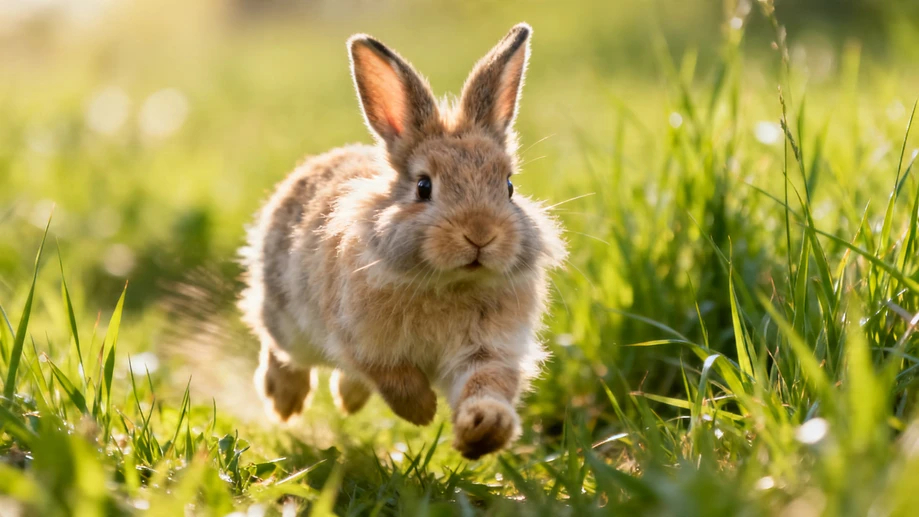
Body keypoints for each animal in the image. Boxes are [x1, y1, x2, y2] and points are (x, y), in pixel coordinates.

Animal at [238, 22, 566, 459]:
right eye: (423, 186)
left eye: (509, 186)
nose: (480, 233)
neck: (448, 283)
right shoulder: (363, 341)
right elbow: (393, 377)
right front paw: (422, 411)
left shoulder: (489, 350)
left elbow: (486, 385)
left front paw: (484, 429)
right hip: (286, 318)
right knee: (280, 349)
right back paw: (285, 401)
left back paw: (348, 401)